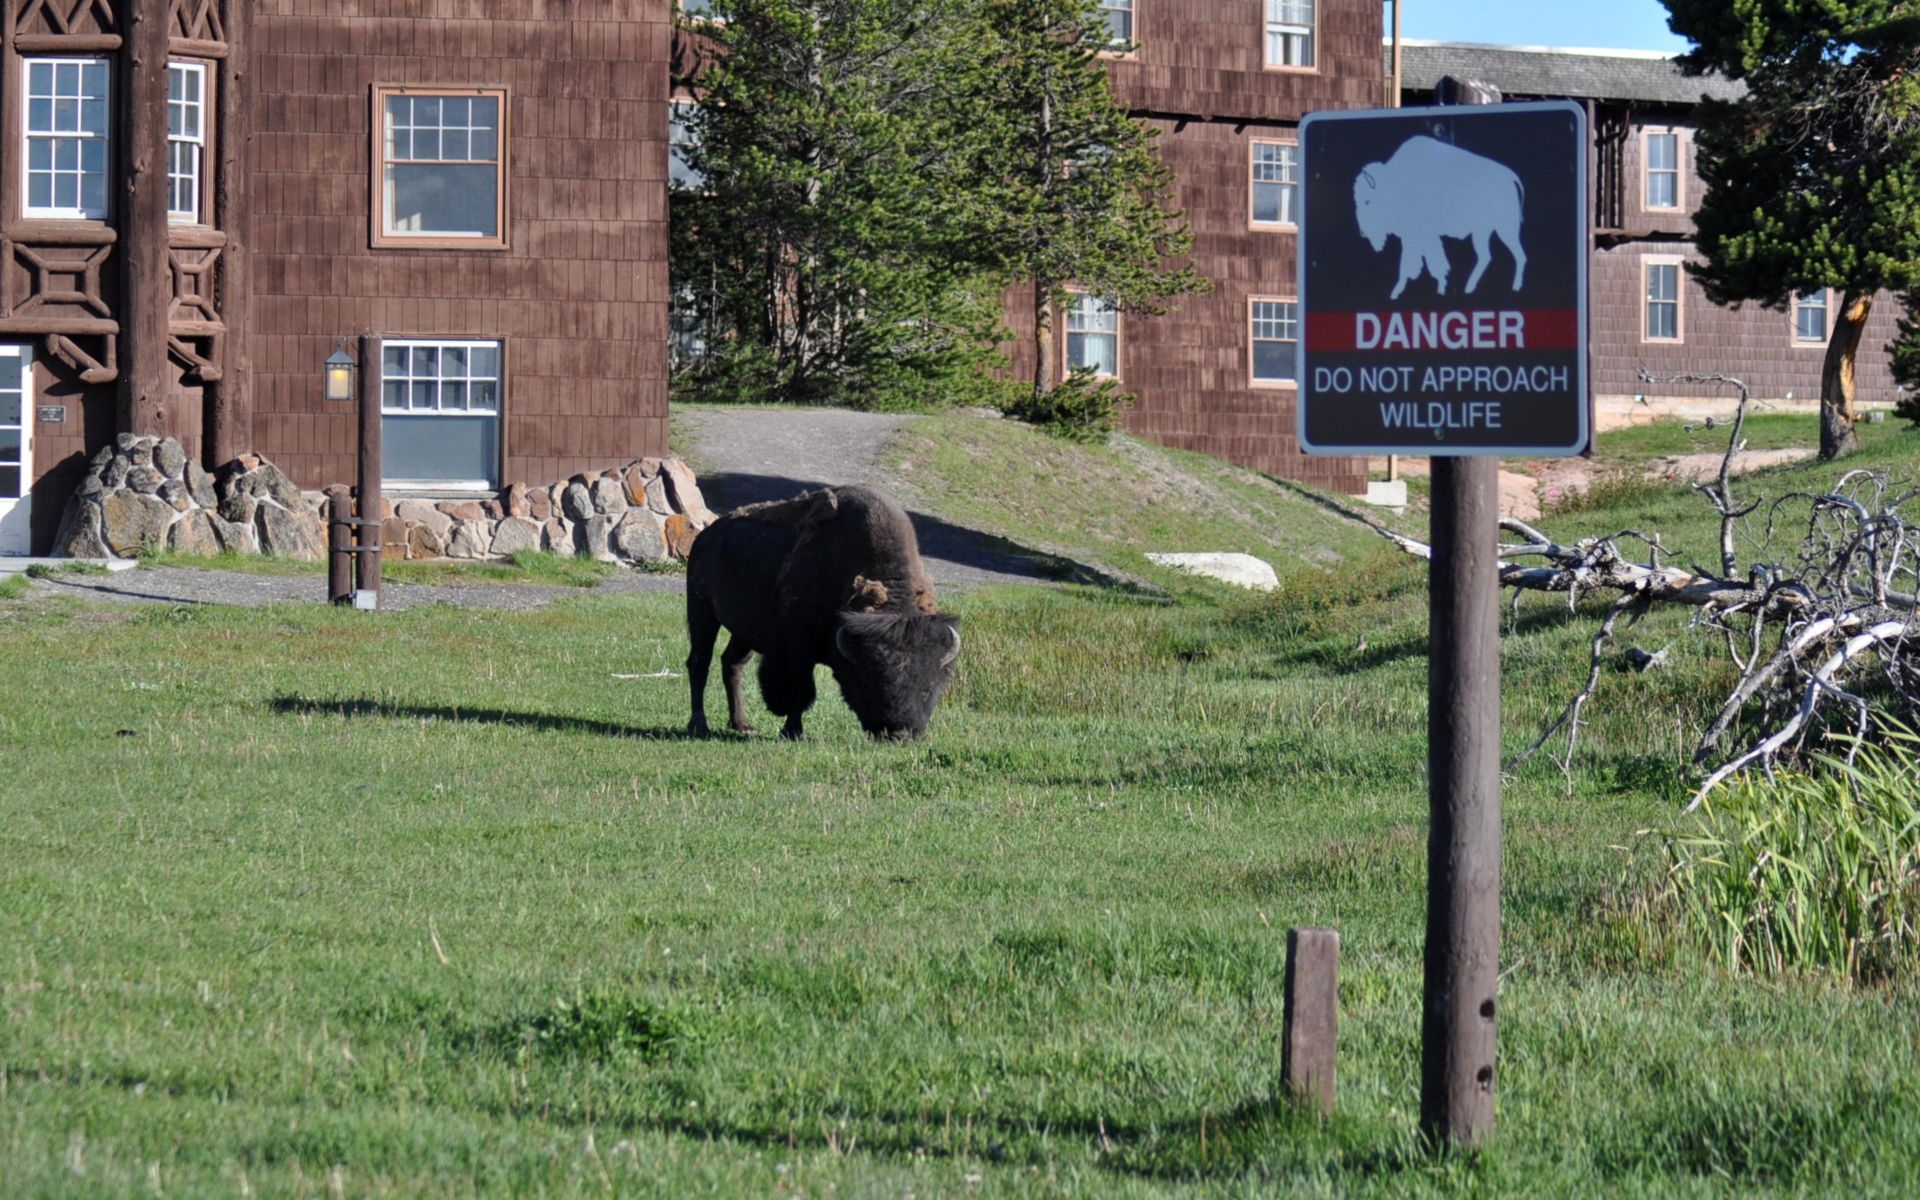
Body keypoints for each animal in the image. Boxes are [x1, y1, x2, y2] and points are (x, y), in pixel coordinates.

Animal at [687, 483, 960, 741]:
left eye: (927, 688)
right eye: (867, 684)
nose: (898, 734)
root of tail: (705, 536)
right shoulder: (798, 650)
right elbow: (801, 690)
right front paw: (793, 732)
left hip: (744, 633)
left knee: (732, 664)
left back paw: (742, 724)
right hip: (701, 612)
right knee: (699, 663)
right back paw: (699, 726)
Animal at [1351, 134, 1528, 299]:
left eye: (1367, 201)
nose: (1363, 232)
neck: (1394, 184)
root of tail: (1510, 177)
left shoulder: (1420, 235)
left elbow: (1421, 263)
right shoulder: (1415, 237)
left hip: (1504, 229)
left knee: (1516, 256)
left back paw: (1511, 287)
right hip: (1484, 232)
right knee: (1490, 256)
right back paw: (1471, 288)